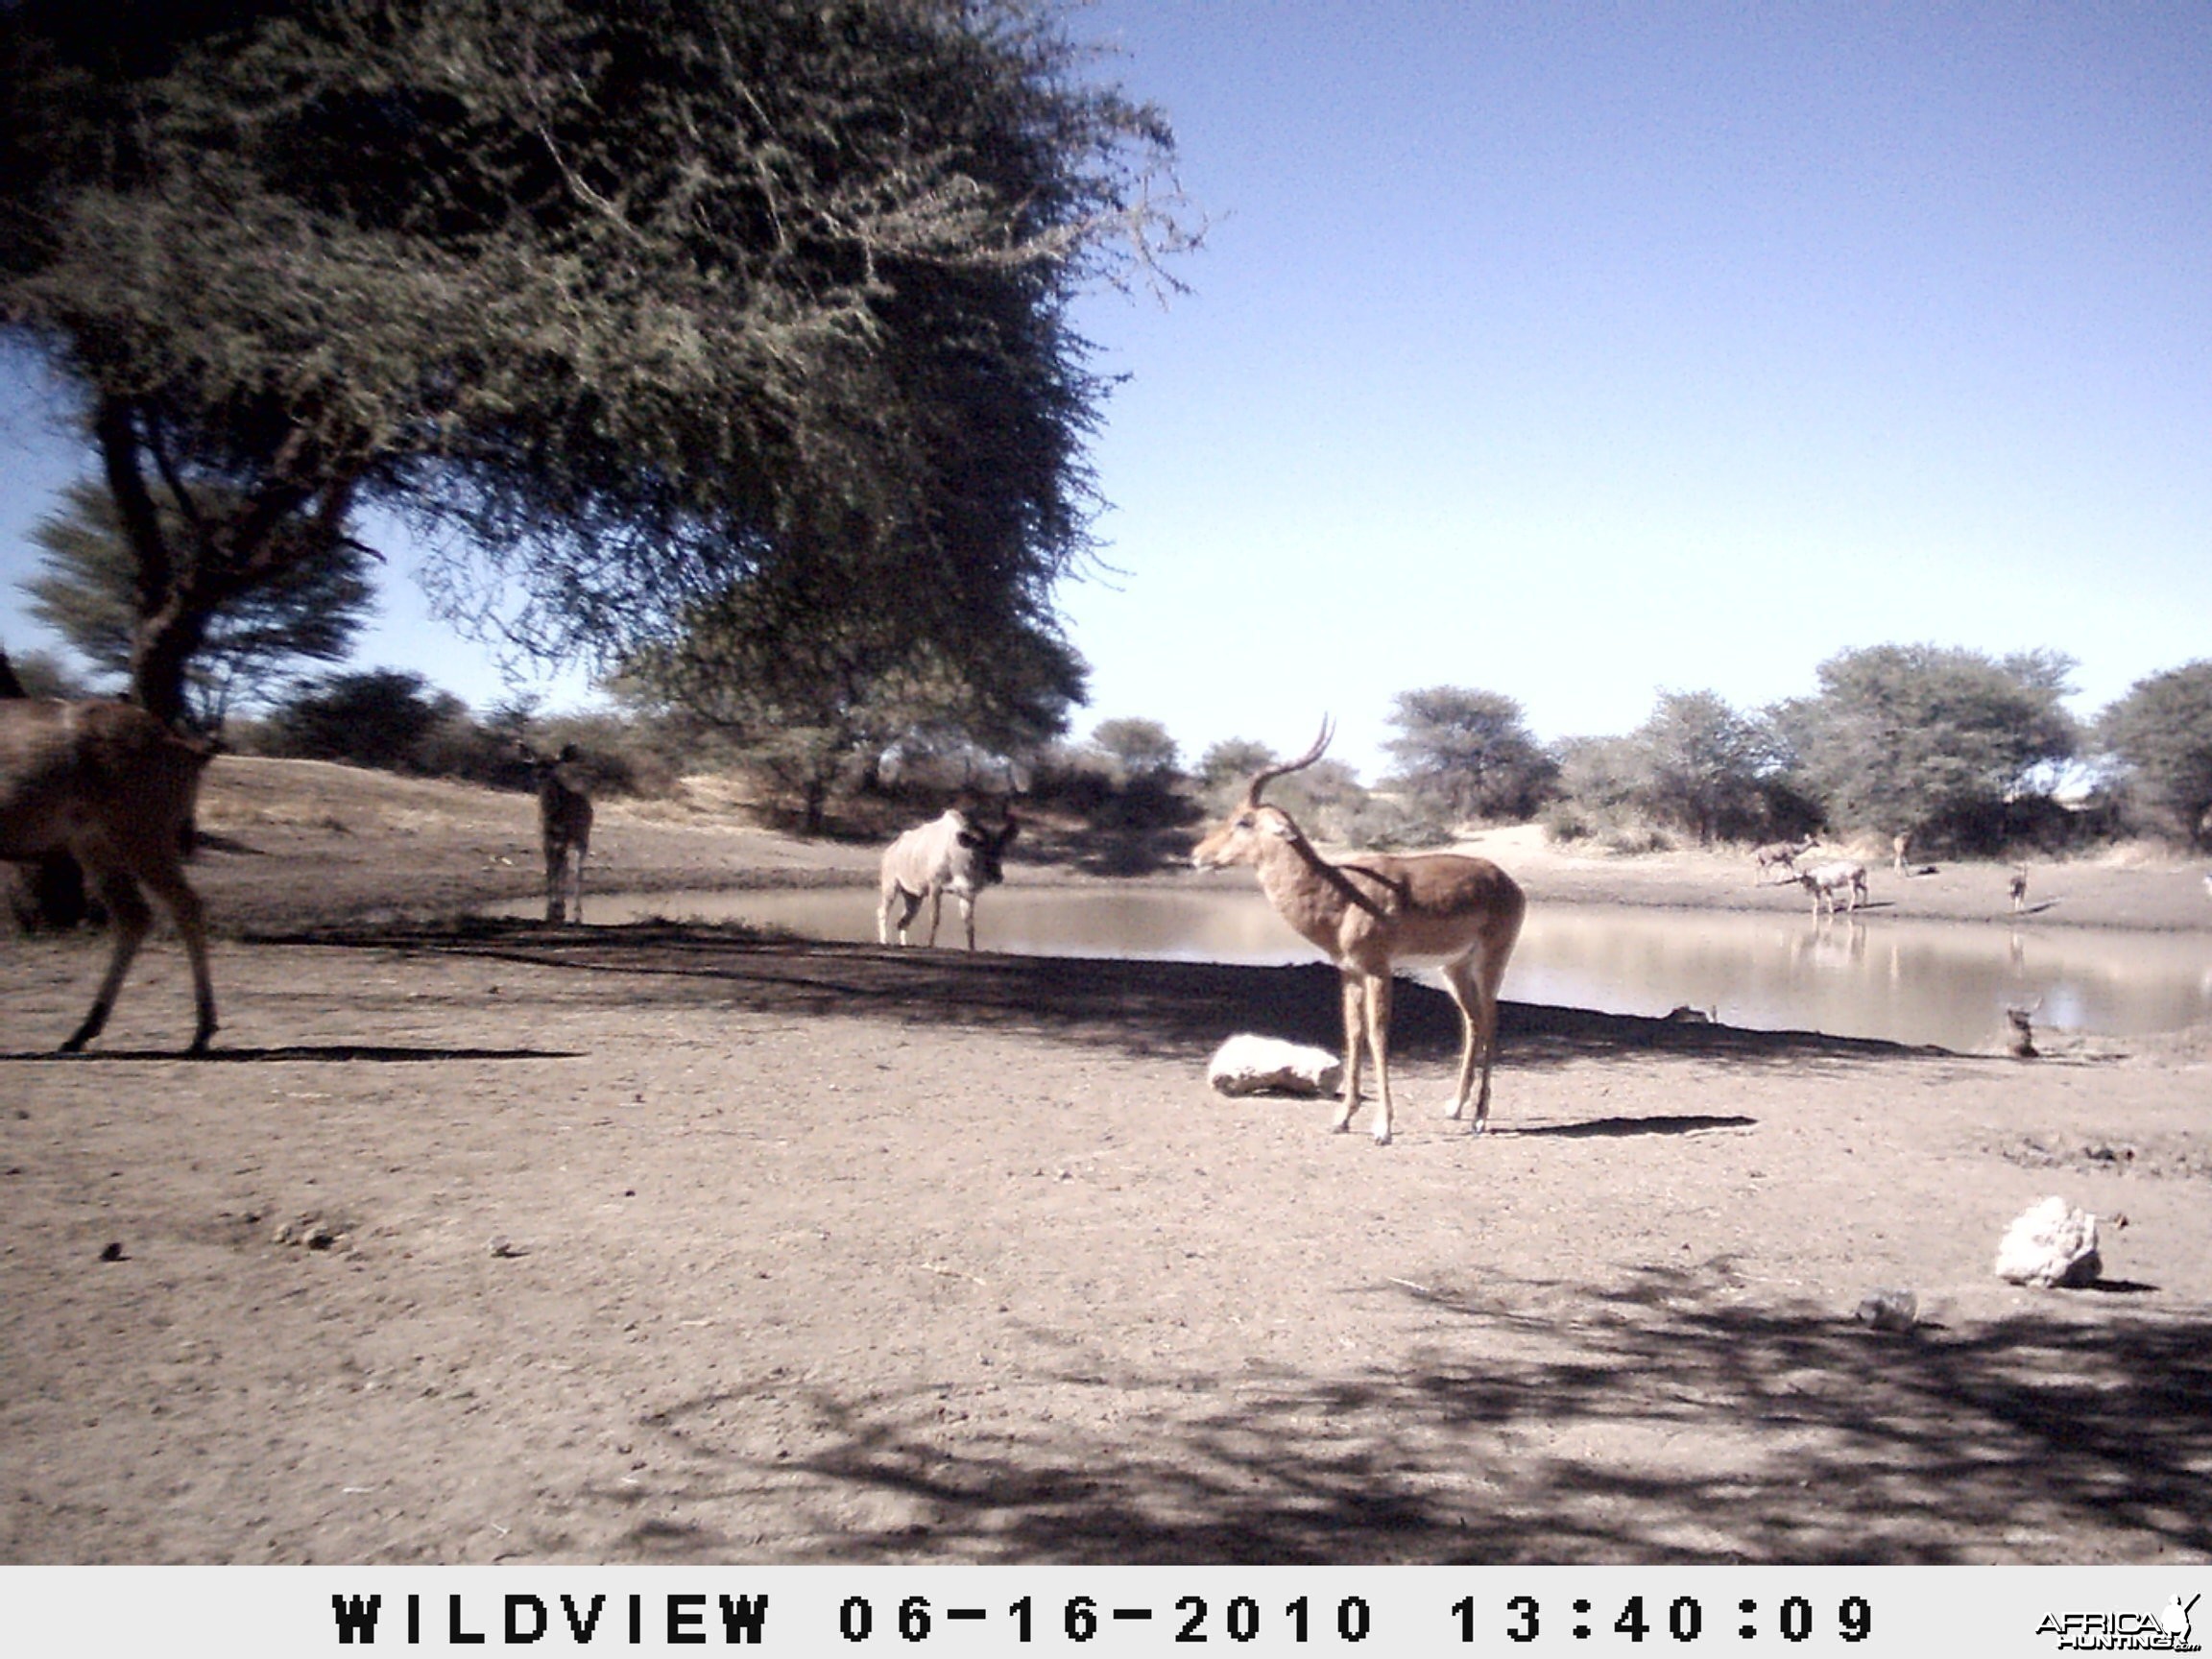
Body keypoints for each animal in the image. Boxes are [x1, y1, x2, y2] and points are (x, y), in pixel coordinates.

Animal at [0, 703, 220, 1052]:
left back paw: (201, 1033)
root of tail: (186, 749)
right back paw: (82, 1031)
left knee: (184, 906)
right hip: (96, 846)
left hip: (139, 837)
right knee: (135, 914)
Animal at [515, 747, 592, 928]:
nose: (539, 775)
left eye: (552, 765)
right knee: (565, 864)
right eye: (535, 763)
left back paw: (576, 914)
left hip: (581, 839)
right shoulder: (545, 837)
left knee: (577, 869)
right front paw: (550, 911)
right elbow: (550, 869)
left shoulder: (562, 837)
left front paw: (556, 910)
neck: (553, 814)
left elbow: (558, 868)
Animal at [879, 805, 1017, 947]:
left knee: (903, 922)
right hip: (890, 887)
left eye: (1001, 850)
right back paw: (884, 941)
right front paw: (930, 945)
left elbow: (969, 926)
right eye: (980, 848)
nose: (997, 876)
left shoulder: (967, 894)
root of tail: (889, 851)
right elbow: (935, 919)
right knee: (883, 912)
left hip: (914, 897)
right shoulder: (935, 887)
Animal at [1185, 721, 1530, 1150]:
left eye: (1244, 821)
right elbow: (1353, 1034)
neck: (1341, 895)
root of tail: (1507, 882)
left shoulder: (1379, 969)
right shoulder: (1349, 971)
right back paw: (1455, 1108)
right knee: (1473, 1022)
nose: (1197, 855)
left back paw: (1481, 1118)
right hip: (1453, 967)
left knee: (1493, 1021)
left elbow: (1378, 1036)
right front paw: (1343, 1118)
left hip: (1491, 961)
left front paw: (1383, 1127)